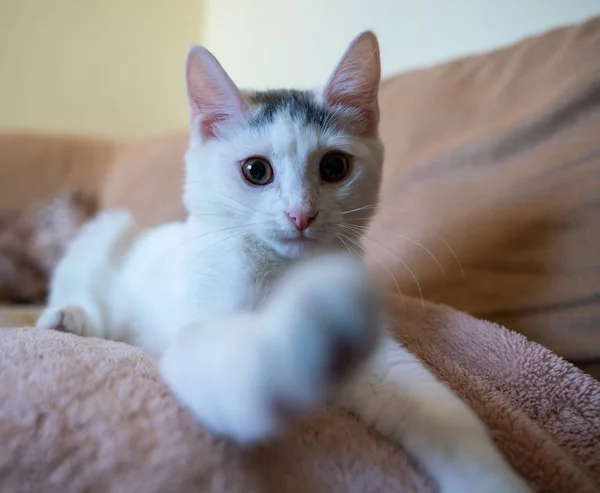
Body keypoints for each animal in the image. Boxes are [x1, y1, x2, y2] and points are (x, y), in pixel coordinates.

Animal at [36, 32, 528, 490]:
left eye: (334, 167)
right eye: (256, 171)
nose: (301, 214)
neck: (282, 271)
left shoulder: (385, 360)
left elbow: (441, 409)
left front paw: (492, 478)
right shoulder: (200, 327)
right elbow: (236, 365)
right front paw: (295, 349)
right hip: (107, 230)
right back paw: (67, 317)